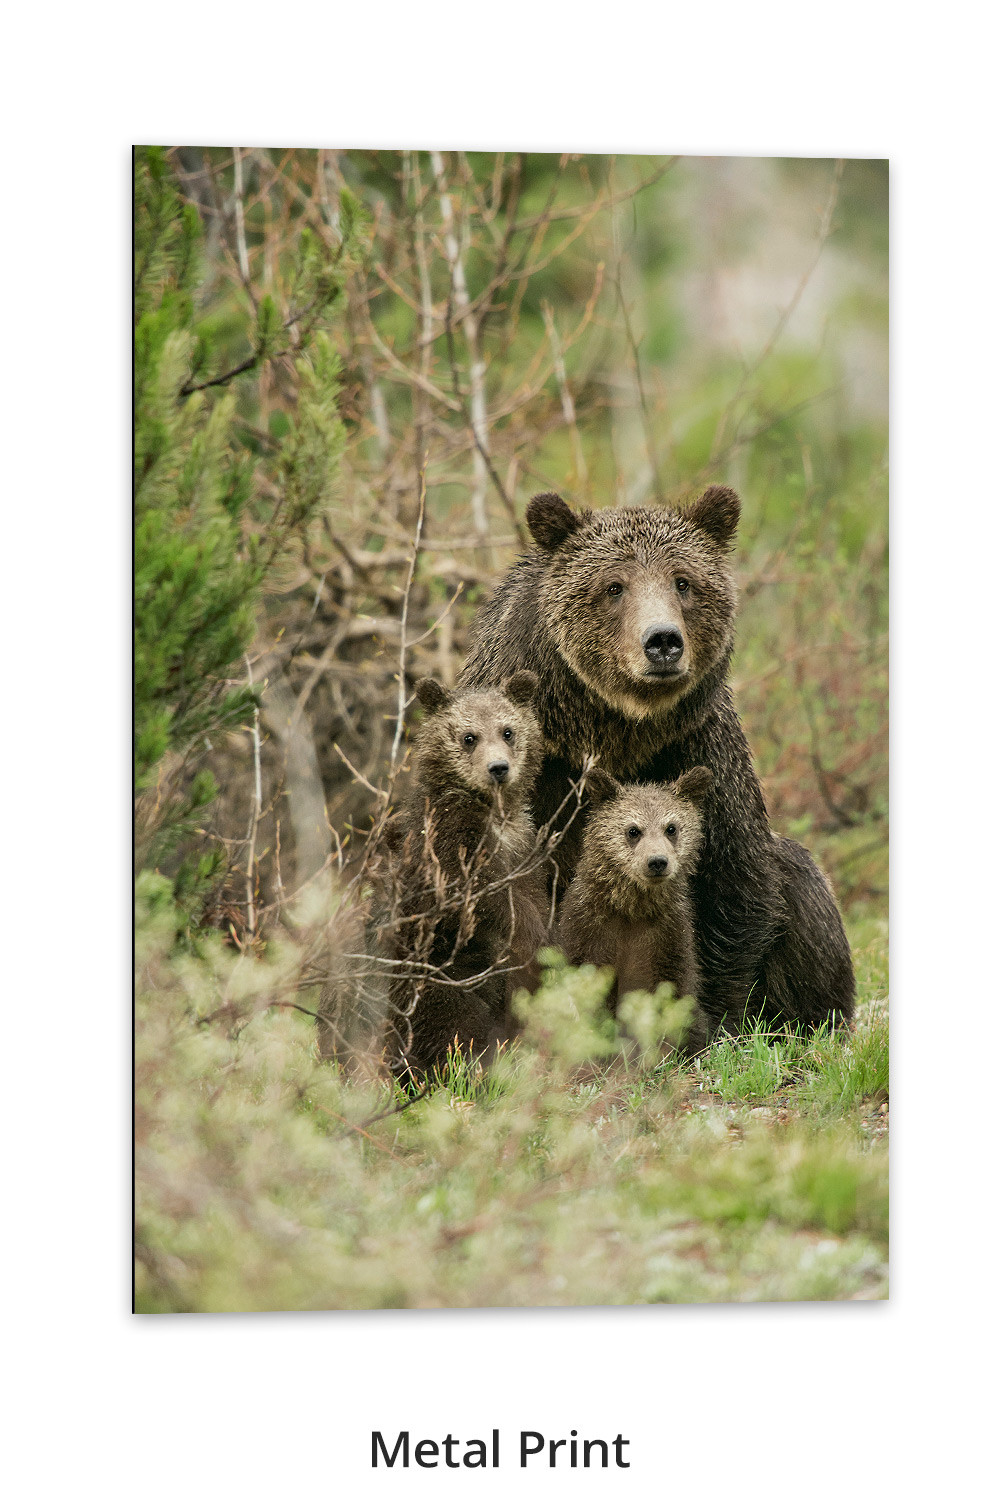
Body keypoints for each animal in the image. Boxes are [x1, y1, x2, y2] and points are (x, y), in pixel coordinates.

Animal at [374, 670, 551, 1082]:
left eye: (507, 731)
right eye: (469, 737)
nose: (498, 768)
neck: (494, 813)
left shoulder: (522, 844)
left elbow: (532, 894)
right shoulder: (449, 836)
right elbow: (482, 898)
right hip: (433, 978)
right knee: (456, 1024)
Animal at [556, 766, 713, 1054]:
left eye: (671, 828)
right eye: (633, 830)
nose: (657, 862)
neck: (632, 908)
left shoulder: (668, 935)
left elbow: (673, 992)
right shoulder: (590, 929)